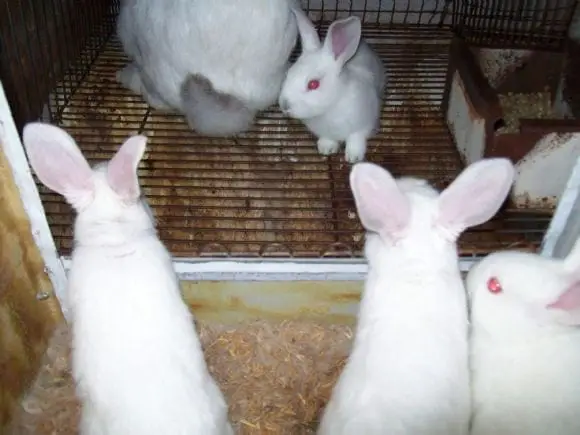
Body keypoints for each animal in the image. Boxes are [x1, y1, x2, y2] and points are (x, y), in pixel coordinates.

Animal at [278, 7, 385, 164]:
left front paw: (353, 158)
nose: (284, 105)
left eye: (313, 84)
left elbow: (356, 140)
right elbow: (328, 140)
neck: (331, 107)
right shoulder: (326, 133)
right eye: (288, 74)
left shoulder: (363, 126)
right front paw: (326, 149)